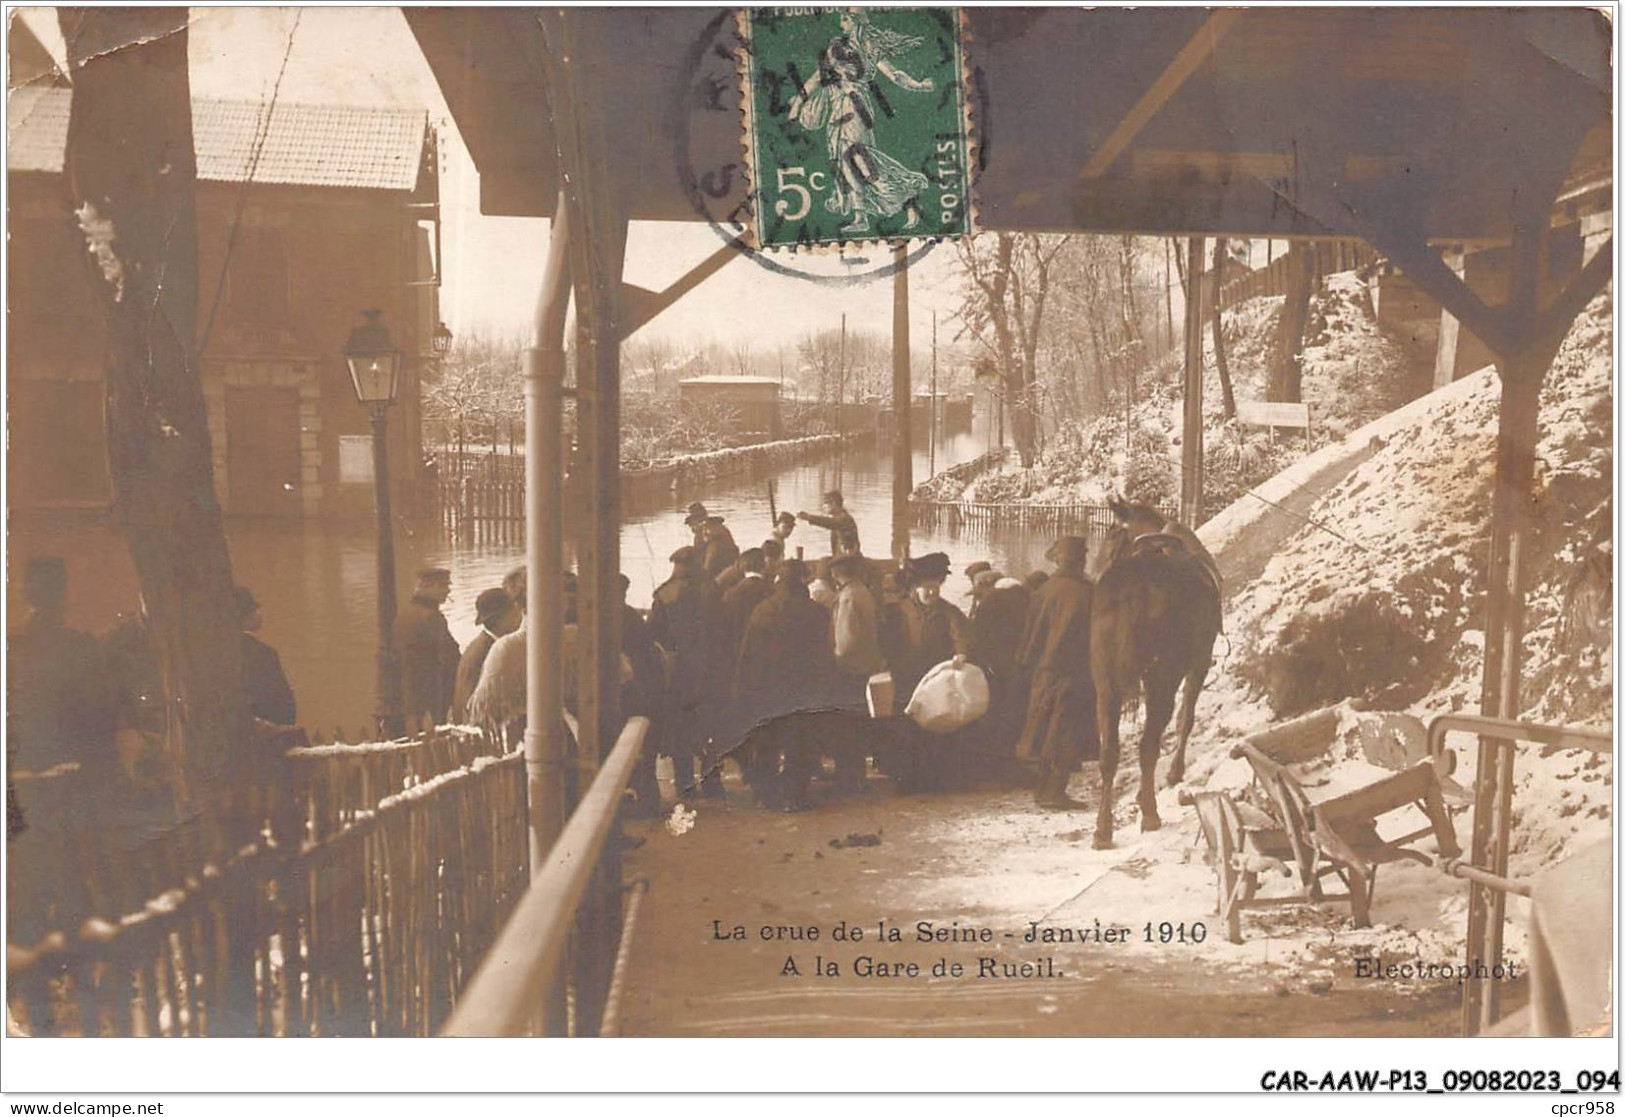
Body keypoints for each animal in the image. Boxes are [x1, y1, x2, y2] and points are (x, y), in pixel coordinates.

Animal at [1085, 497, 1222, 845]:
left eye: (1110, 537)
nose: (1092, 573)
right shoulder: (1200, 660)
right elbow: (1186, 719)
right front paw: (1174, 773)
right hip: (1163, 678)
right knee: (1148, 744)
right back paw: (1149, 812)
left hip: (1105, 685)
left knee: (1109, 753)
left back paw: (1103, 829)